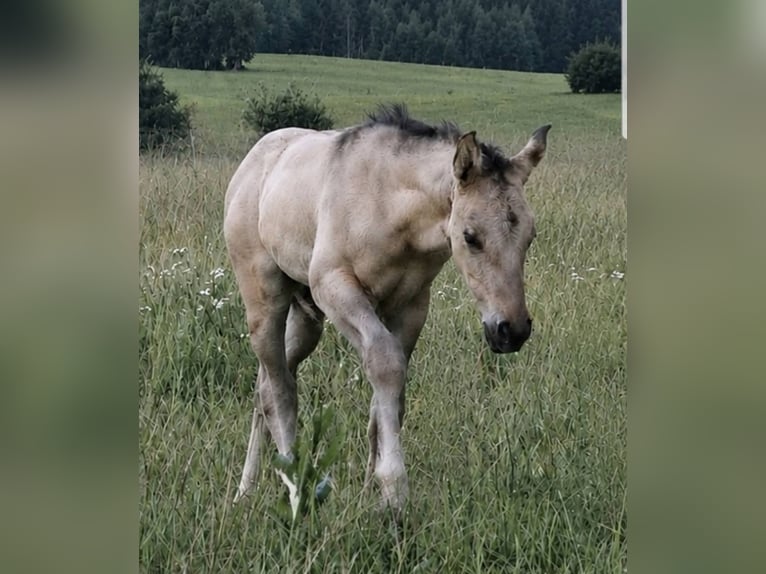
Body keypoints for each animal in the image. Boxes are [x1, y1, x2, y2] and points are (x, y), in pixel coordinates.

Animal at [224, 104, 550, 513]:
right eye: (470, 236)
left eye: (530, 236)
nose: (512, 330)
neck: (388, 205)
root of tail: (251, 164)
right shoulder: (336, 287)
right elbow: (385, 364)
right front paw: (394, 492)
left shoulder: (411, 305)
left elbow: (388, 399)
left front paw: (371, 496)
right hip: (265, 299)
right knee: (277, 391)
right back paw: (289, 489)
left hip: (306, 317)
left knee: (267, 382)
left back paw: (248, 490)